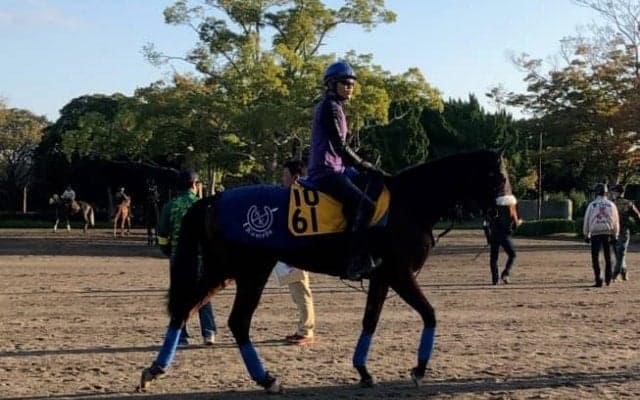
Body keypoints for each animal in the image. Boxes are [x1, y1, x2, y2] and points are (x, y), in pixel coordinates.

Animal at [139, 149, 511, 393]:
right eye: (497, 175)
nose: (509, 217)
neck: (409, 202)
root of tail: (213, 199)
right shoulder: (400, 274)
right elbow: (430, 313)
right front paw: (419, 369)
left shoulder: (382, 277)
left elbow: (370, 320)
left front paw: (363, 370)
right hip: (248, 270)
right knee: (235, 320)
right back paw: (266, 379)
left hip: (225, 271)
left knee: (187, 309)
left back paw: (155, 370)